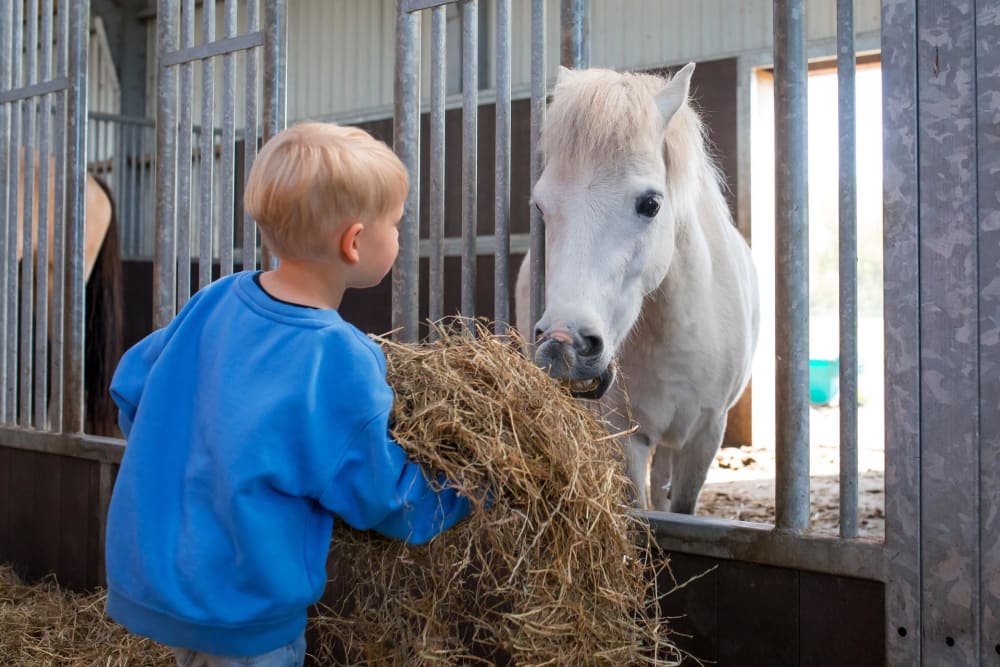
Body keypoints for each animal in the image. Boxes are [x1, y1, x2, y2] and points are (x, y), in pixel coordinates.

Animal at [515, 64, 760, 513]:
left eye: (650, 204)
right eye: (540, 205)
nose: (563, 343)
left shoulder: (705, 436)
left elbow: (680, 508)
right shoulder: (626, 436)